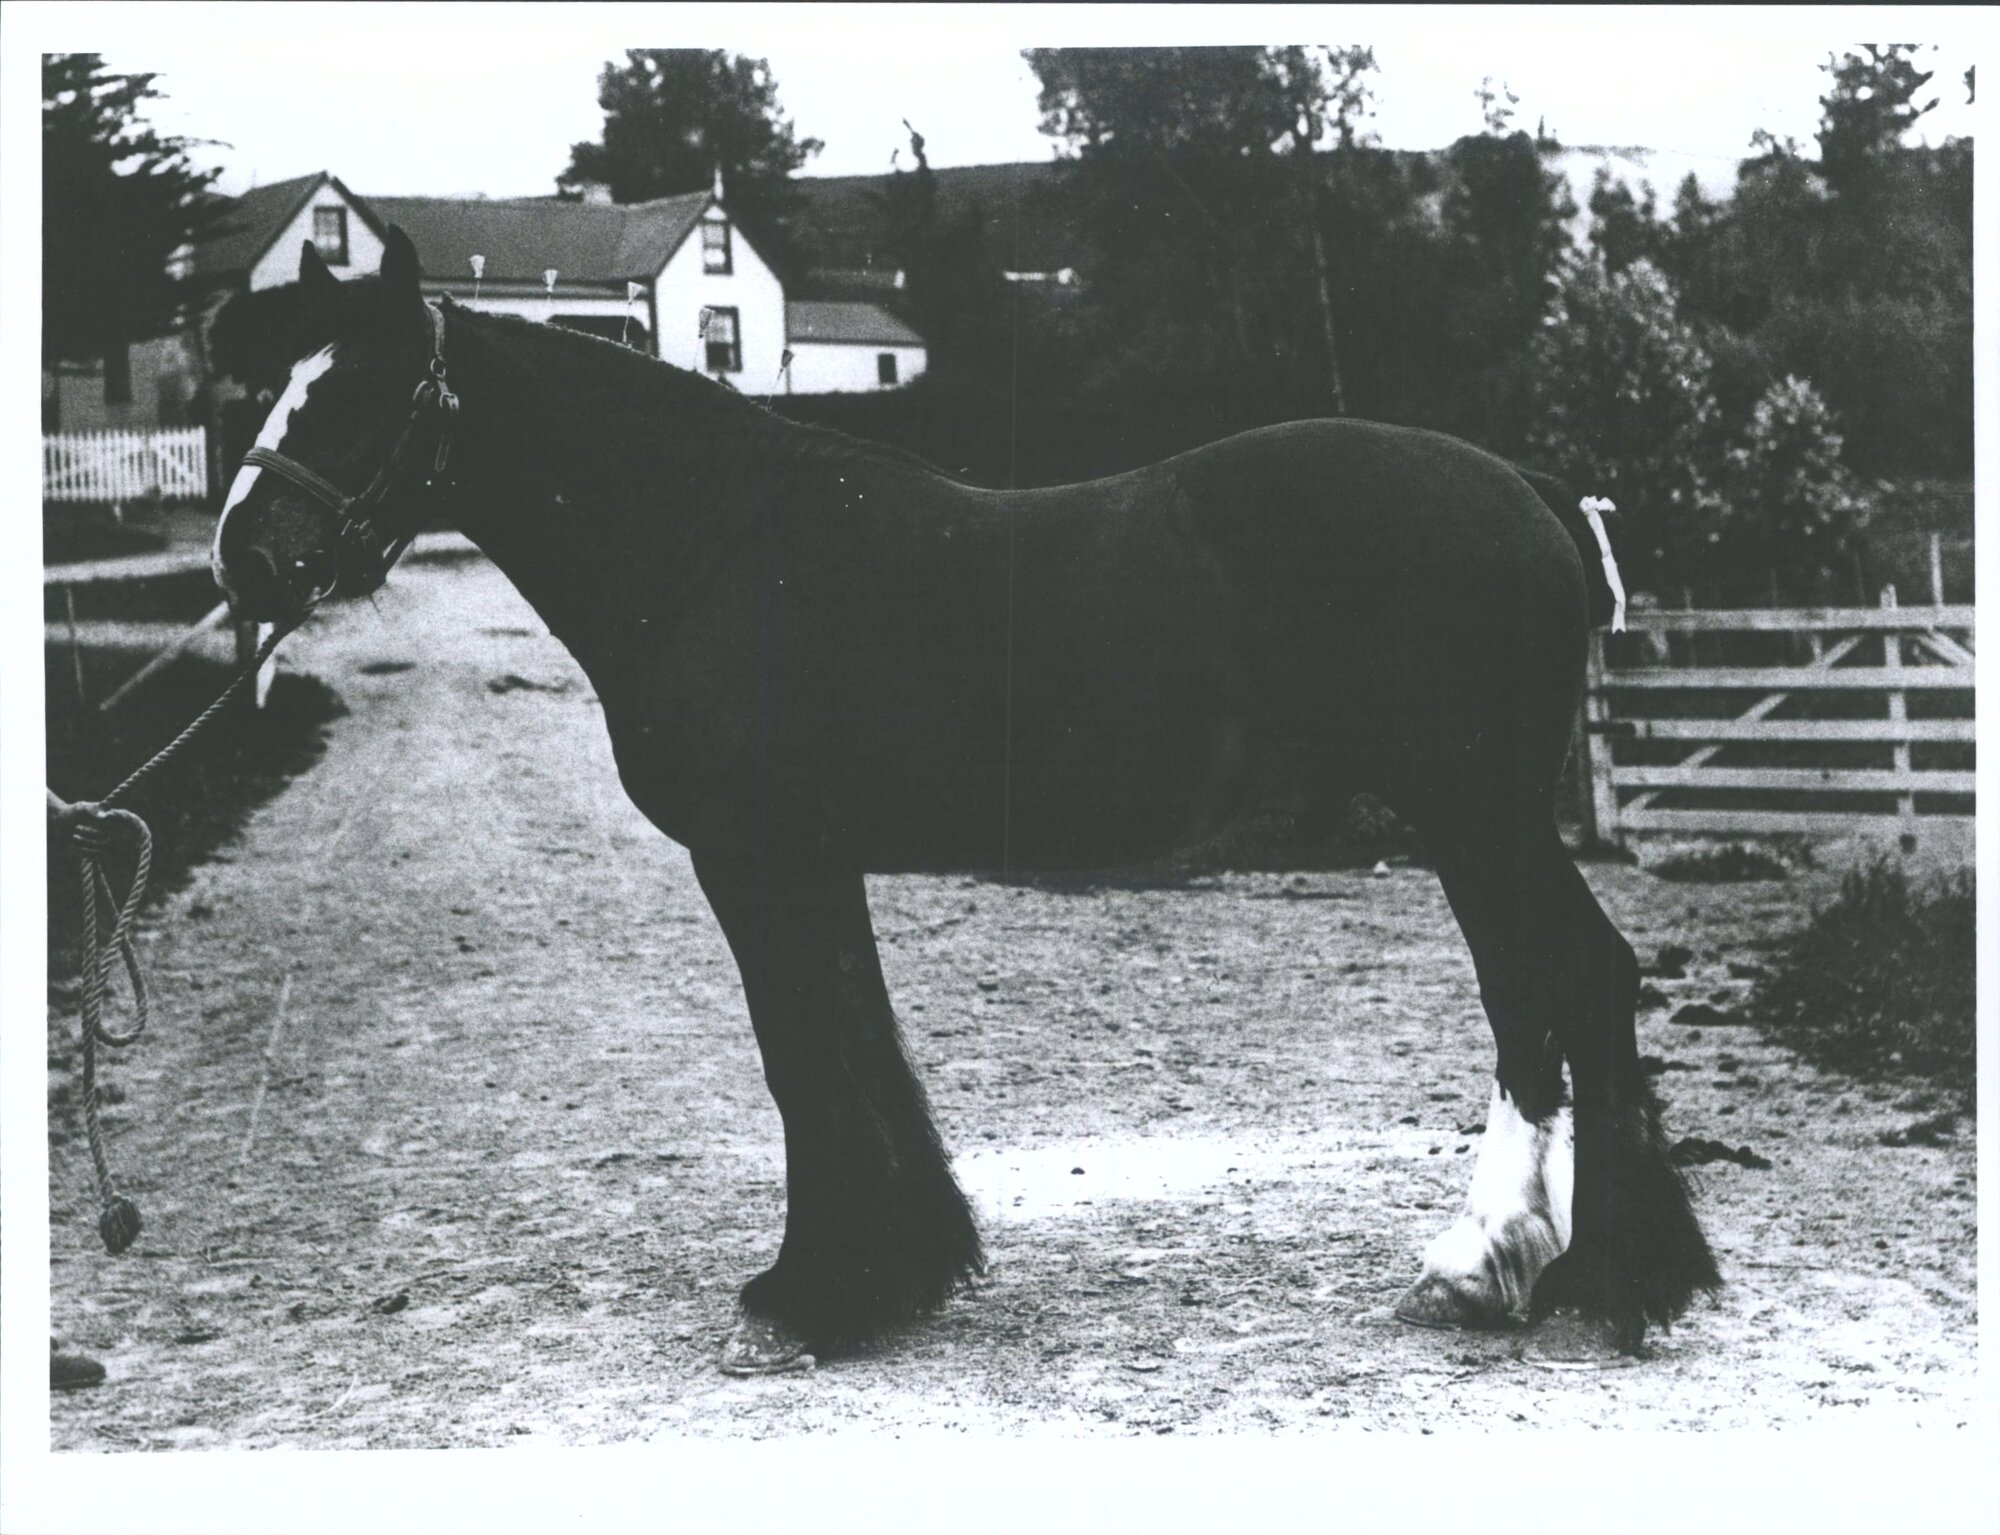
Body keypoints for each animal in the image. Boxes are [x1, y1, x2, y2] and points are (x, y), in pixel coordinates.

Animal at [211, 228, 1718, 1375]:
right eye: (273, 385)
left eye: (359, 388)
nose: (244, 556)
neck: (716, 547)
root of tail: (1522, 487)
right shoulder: (812, 861)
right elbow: (858, 1042)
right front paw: (904, 1266)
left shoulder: (753, 856)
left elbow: (801, 1055)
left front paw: (813, 1293)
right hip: (1476, 821)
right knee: (1539, 997)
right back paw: (1506, 1266)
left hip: (1476, 814)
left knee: (1568, 983)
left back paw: (1578, 1272)